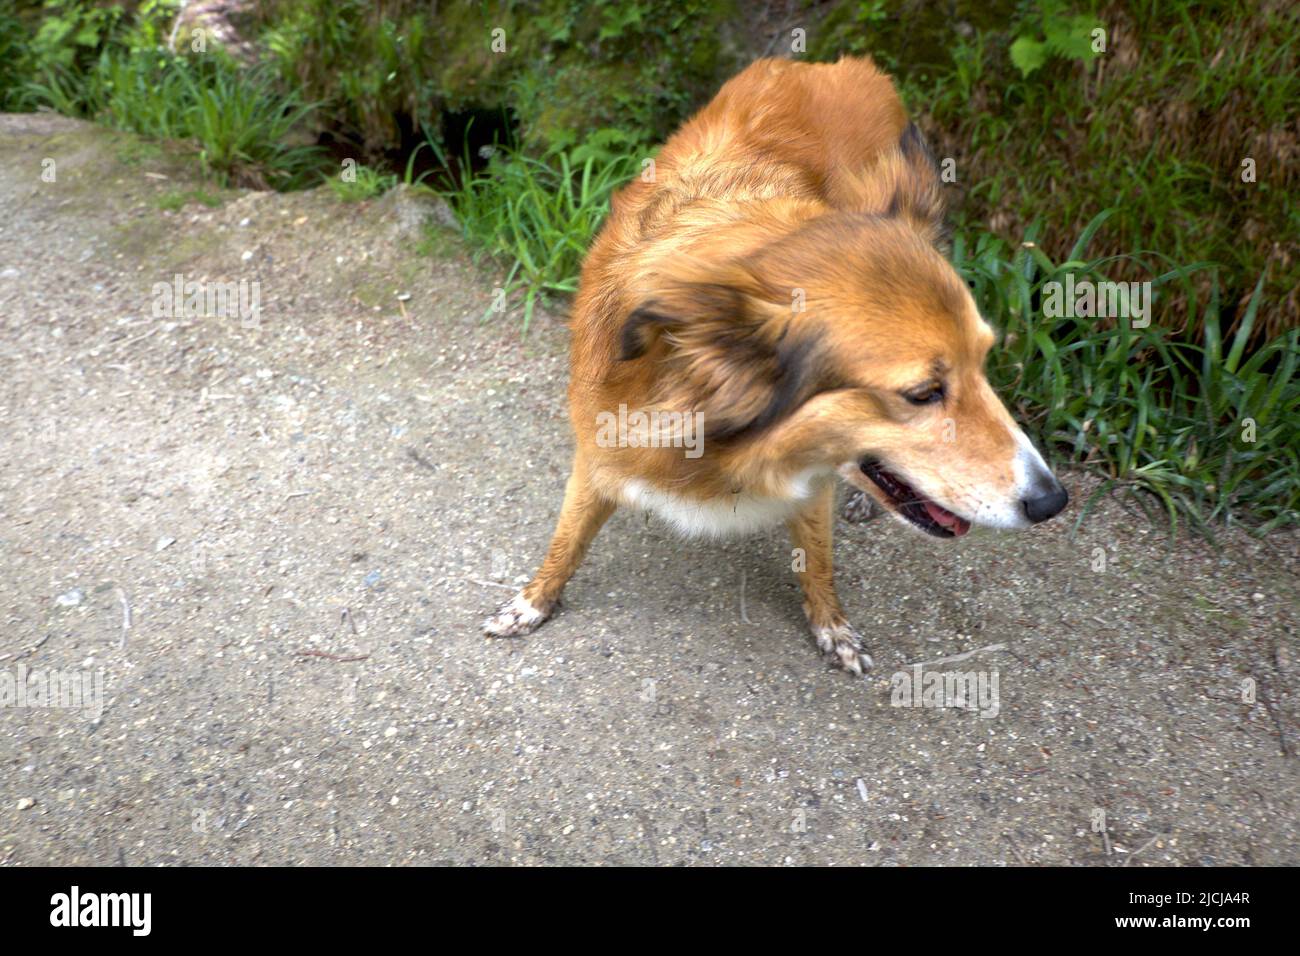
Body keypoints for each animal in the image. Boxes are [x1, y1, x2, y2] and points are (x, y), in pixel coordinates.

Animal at [480, 55, 1066, 676]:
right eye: (923, 393)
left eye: (984, 363)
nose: (1053, 501)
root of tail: (841, 65)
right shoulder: (599, 455)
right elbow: (566, 540)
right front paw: (534, 601)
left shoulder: (812, 482)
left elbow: (818, 558)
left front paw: (832, 626)